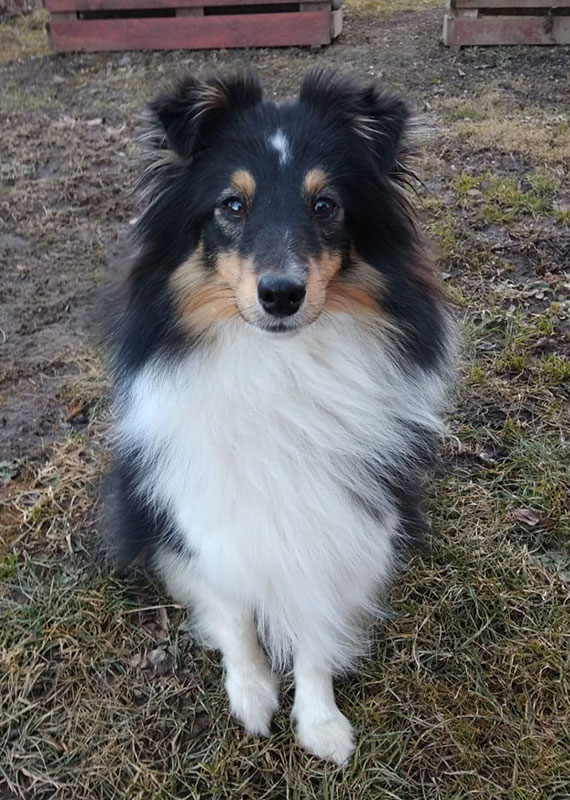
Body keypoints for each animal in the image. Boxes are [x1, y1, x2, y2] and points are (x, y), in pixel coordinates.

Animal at [104, 69, 453, 765]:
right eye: (231, 206)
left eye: (326, 205)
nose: (282, 295)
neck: (280, 367)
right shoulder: (202, 517)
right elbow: (234, 609)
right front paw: (252, 692)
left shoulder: (347, 522)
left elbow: (316, 624)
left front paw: (320, 721)